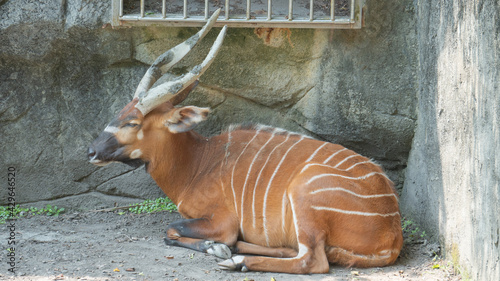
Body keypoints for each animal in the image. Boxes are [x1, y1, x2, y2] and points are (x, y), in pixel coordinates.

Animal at [88, 9, 404, 272]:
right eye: (121, 111)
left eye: (133, 122)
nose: (91, 151)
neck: (199, 162)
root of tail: (393, 238)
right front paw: (218, 248)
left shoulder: (222, 221)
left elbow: (171, 228)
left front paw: (216, 248)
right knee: (292, 250)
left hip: (304, 196)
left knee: (313, 260)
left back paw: (239, 260)